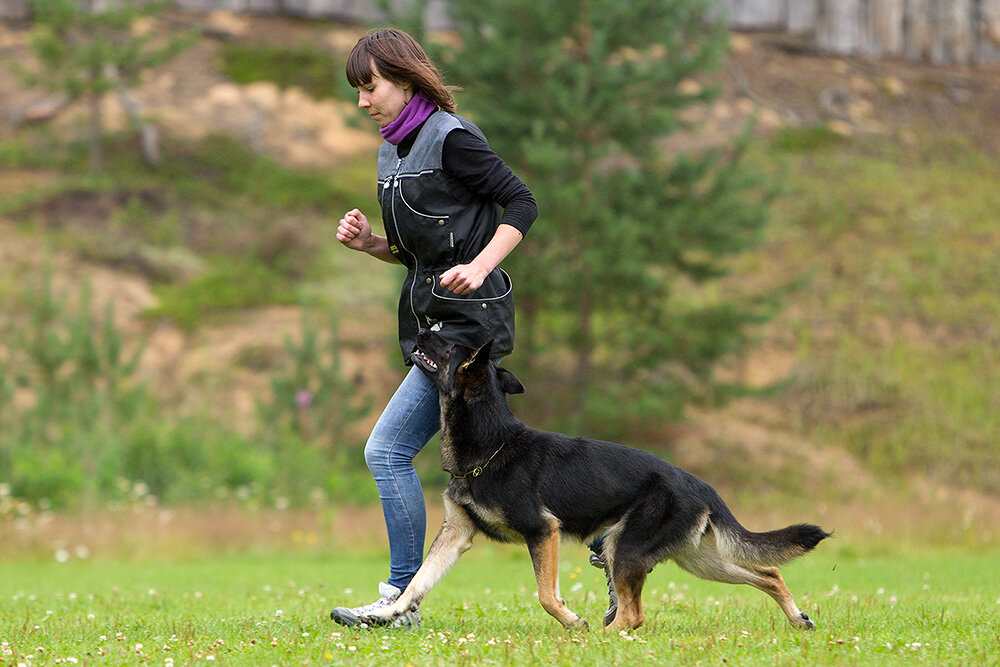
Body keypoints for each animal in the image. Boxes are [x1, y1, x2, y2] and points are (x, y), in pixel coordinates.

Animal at [360, 332, 828, 636]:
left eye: (450, 347)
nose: (422, 328)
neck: (491, 445)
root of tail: (700, 486)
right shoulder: (456, 533)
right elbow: (418, 582)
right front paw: (388, 613)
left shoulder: (542, 531)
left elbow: (547, 595)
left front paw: (573, 622)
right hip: (697, 560)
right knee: (768, 572)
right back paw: (797, 619)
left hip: (626, 551)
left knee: (633, 615)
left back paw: (600, 636)